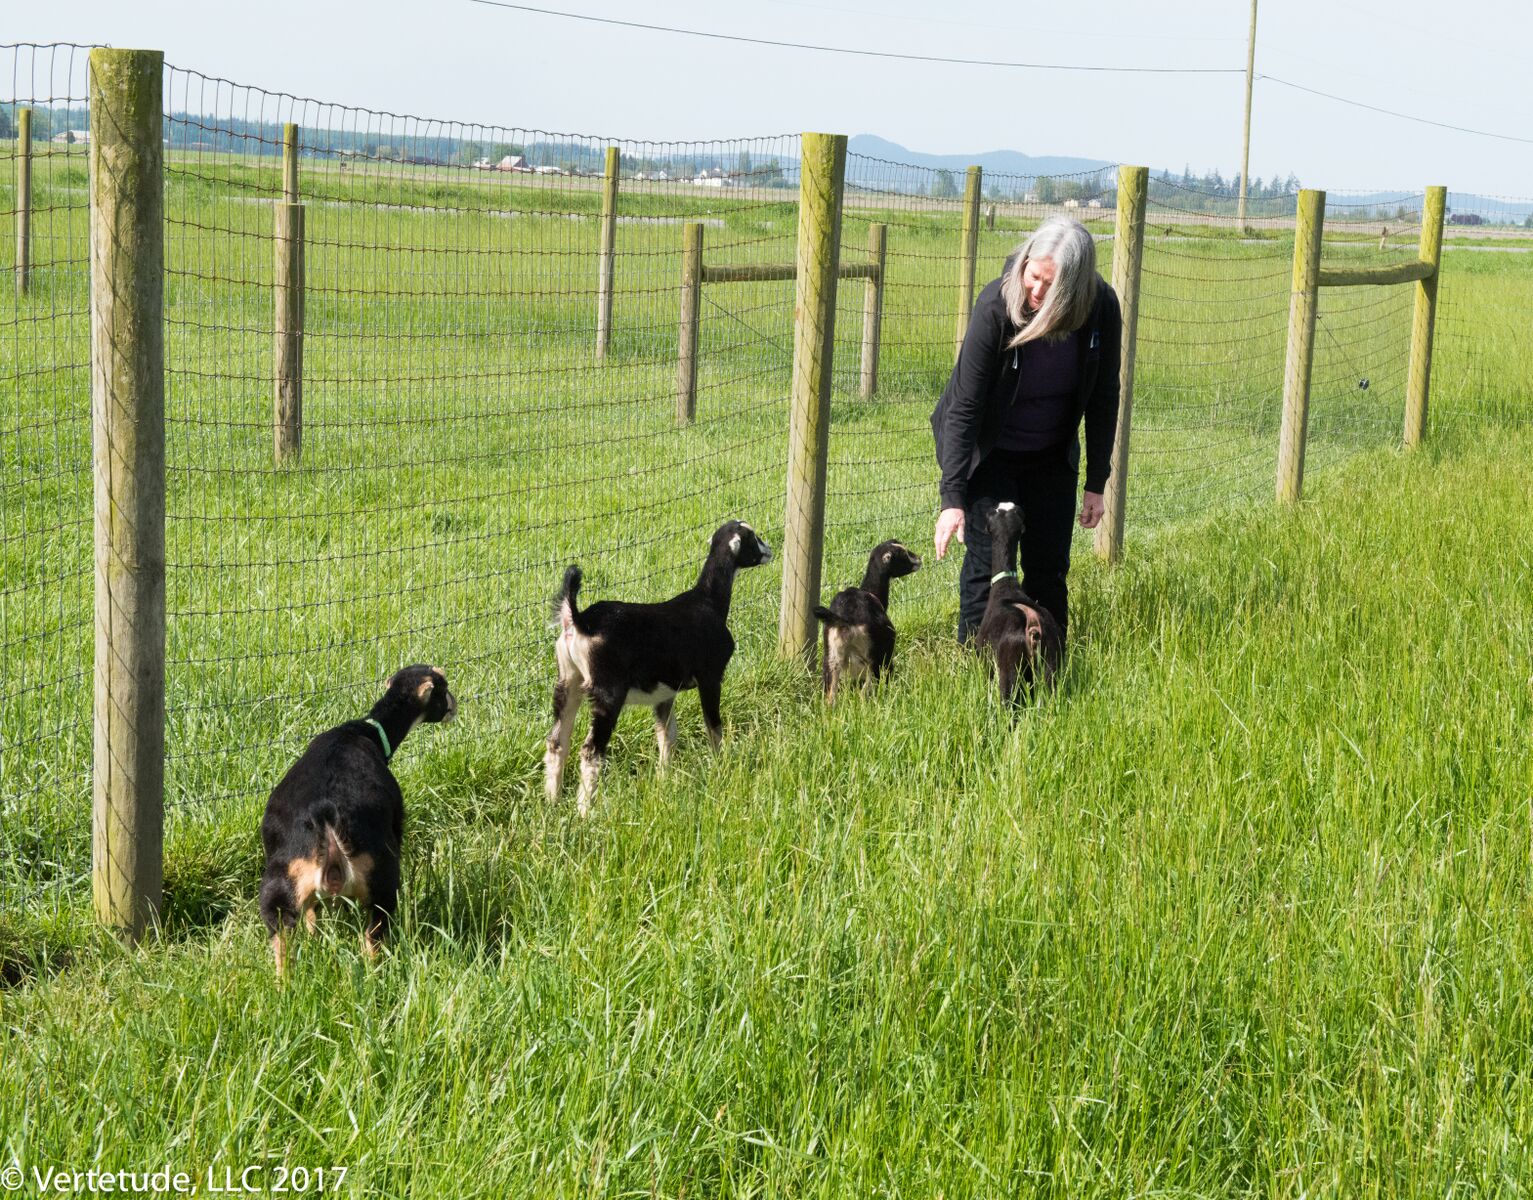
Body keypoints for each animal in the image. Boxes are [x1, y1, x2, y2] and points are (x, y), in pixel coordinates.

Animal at [545, 518, 772, 815]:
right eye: (753, 538)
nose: (769, 551)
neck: (708, 601)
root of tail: (579, 619)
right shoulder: (711, 677)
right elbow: (714, 726)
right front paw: (721, 766)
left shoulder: (665, 694)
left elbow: (667, 737)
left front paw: (664, 781)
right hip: (608, 693)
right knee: (591, 750)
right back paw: (585, 811)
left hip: (568, 682)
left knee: (557, 741)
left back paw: (551, 802)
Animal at [815, 536, 919, 698]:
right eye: (903, 555)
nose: (919, 559)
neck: (871, 593)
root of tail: (845, 620)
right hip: (872, 658)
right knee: (867, 690)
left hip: (832, 658)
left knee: (830, 693)